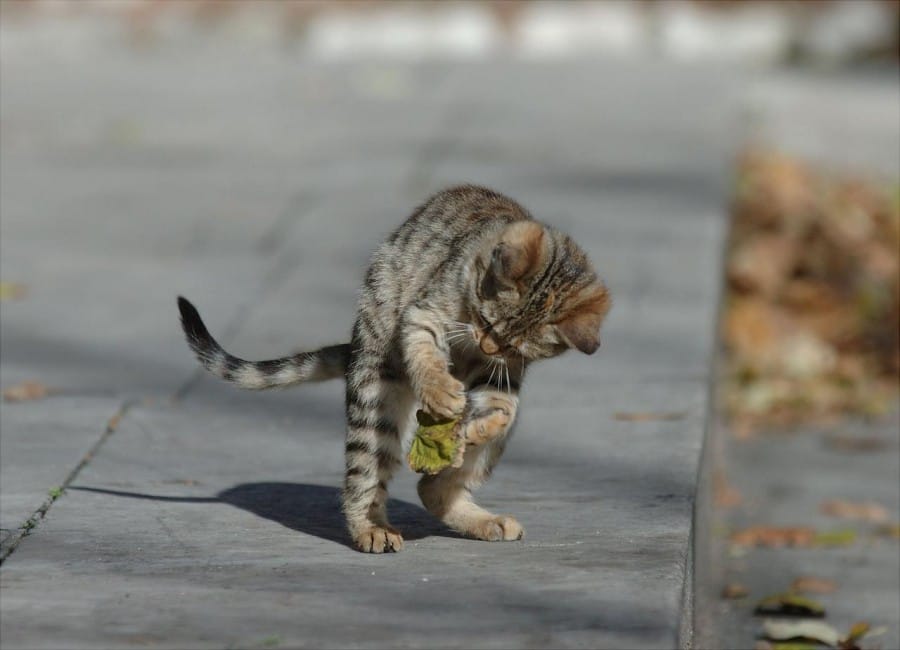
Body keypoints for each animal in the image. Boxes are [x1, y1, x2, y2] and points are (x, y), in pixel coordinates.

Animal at [178, 184, 612, 552]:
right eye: (487, 322)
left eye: (510, 345)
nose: (488, 345)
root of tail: (357, 345)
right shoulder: (424, 314)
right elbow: (426, 355)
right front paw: (442, 392)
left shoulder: (502, 373)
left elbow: (502, 410)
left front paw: (470, 429)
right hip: (377, 401)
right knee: (364, 477)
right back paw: (372, 529)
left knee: (432, 490)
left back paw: (481, 514)